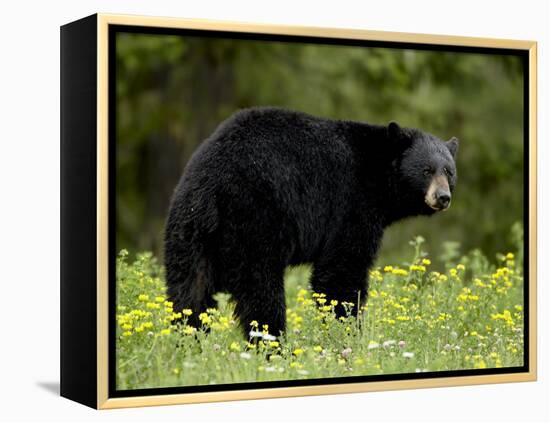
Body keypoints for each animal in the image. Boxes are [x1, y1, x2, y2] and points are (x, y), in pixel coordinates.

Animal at [165, 107, 462, 340]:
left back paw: (189, 342)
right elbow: (341, 271)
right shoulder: (350, 203)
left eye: (448, 171)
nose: (443, 197)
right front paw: (348, 332)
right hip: (254, 221)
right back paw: (273, 345)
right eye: (426, 170)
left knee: (189, 290)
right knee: (260, 290)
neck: (377, 177)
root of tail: (211, 184)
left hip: (189, 230)